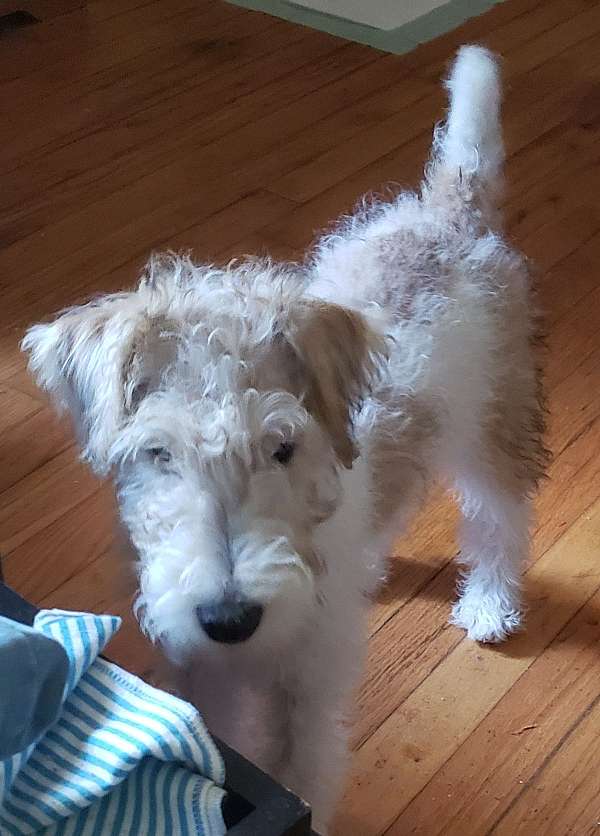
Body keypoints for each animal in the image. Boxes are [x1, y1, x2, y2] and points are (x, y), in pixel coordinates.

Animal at [24, 49, 548, 832]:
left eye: (281, 447)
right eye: (158, 453)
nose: (229, 618)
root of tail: (447, 210)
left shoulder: (310, 683)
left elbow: (303, 769)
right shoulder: (199, 668)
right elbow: (221, 742)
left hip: (494, 417)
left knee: (500, 516)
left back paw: (488, 603)